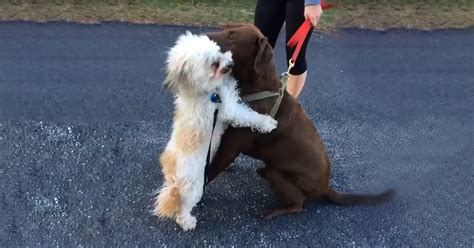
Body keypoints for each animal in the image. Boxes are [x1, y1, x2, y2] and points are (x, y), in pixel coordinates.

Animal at [154, 31, 276, 231]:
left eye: (218, 52)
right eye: (213, 63)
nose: (231, 64)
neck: (201, 91)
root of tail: (172, 179)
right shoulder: (228, 109)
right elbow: (247, 115)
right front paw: (268, 122)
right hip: (194, 186)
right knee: (183, 206)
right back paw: (187, 221)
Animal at [206, 24, 394, 219]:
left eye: (232, 37)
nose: (205, 36)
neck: (258, 88)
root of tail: (325, 188)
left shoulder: (230, 147)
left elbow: (210, 171)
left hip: (279, 175)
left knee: (297, 204)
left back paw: (272, 212)